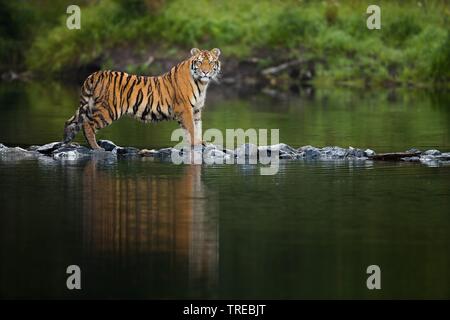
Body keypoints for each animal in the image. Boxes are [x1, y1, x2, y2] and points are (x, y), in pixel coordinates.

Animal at [62, 47, 221, 150]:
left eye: (211, 62)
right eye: (199, 62)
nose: (205, 72)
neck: (201, 83)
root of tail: (94, 74)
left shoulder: (196, 110)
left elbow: (198, 126)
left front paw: (200, 143)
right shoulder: (185, 109)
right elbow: (191, 128)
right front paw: (195, 144)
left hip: (87, 106)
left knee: (70, 121)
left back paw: (66, 143)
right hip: (108, 110)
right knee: (88, 125)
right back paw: (96, 148)